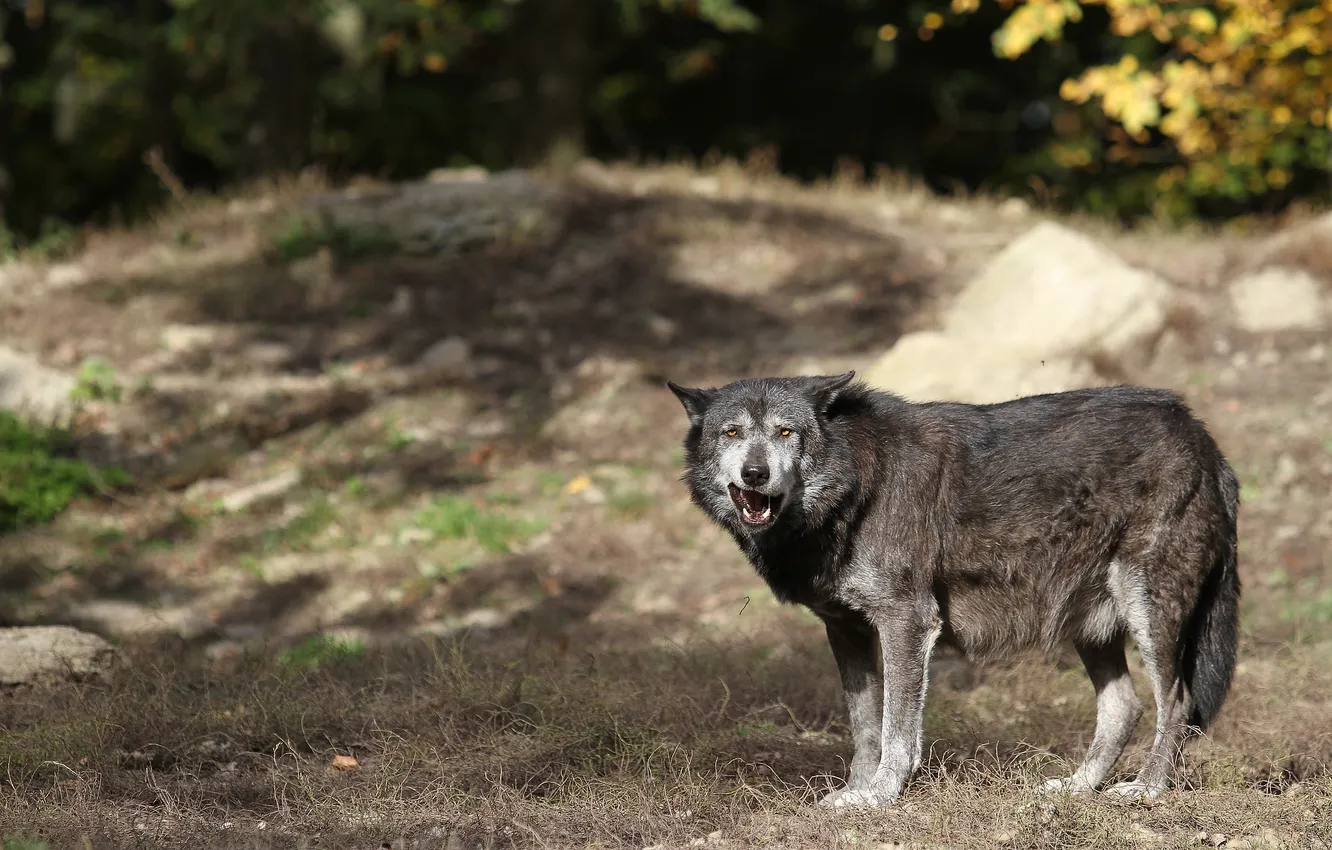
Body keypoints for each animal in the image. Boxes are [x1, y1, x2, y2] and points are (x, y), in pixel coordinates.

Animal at [667, 372, 1240, 807]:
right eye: (732, 432)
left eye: (786, 432)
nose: (755, 473)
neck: (855, 488)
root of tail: (1204, 438)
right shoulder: (846, 629)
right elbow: (864, 726)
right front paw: (853, 793)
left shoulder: (907, 620)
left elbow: (898, 730)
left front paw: (880, 797)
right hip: (1090, 624)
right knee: (1125, 707)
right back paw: (1076, 789)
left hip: (1147, 611)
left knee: (1177, 702)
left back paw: (1146, 790)